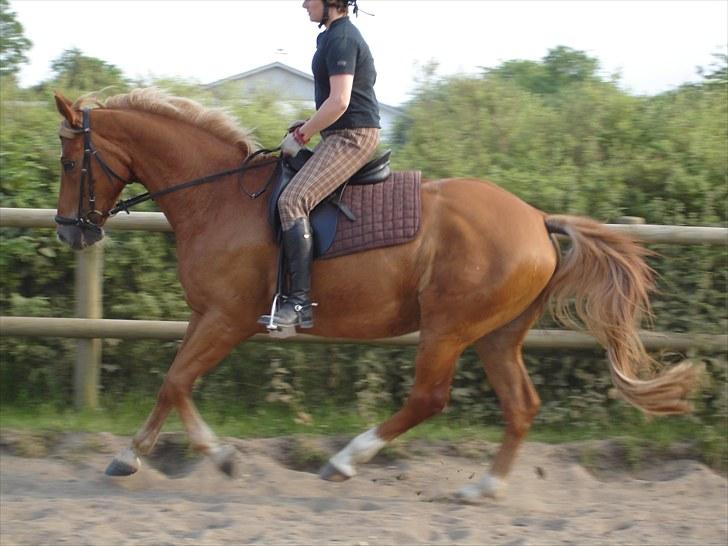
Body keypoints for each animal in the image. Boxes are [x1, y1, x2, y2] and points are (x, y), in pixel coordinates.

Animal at [54, 89, 696, 498]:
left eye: (68, 160)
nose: (69, 231)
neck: (220, 197)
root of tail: (537, 219)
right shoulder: (206, 315)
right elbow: (172, 383)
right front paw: (129, 455)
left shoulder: (228, 319)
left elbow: (177, 381)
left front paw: (222, 457)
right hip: (496, 335)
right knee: (521, 406)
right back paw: (483, 489)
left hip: (447, 328)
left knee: (428, 399)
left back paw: (345, 461)